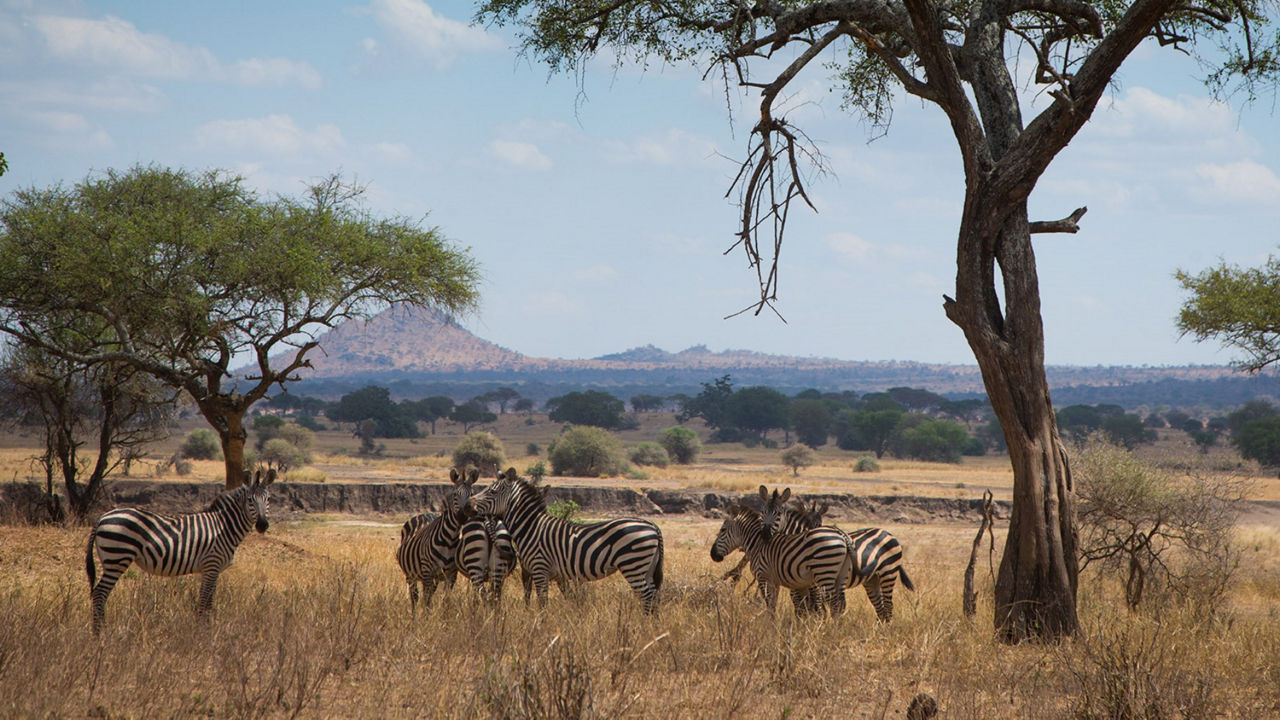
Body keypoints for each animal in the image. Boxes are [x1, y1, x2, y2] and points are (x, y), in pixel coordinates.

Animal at [85, 468, 277, 630]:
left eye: (268, 499)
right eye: (250, 500)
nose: (262, 525)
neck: (224, 526)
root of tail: (102, 517)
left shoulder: (214, 570)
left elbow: (209, 602)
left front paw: (207, 630)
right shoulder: (211, 565)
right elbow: (204, 602)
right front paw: (202, 633)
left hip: (111, 559)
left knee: (100, 594)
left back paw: (101, 631)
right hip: (117, 558)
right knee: (100, 594)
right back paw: (100, 634)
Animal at [391, 466, 478, 604]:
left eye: (472, 494)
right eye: (455, 494)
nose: (462, 516)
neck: (450, 540)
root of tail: (424, 514)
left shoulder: (451, 575)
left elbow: (445, 599)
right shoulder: (427, 572)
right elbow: (426, 601)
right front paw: (426, 610)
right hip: (410, 574)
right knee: (415, 597)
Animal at [471, 468, 670, 614]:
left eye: (492, 491)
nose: (469, 505)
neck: (531, 527)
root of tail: (652, 525)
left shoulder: (540, 568)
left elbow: (542, 602)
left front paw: (541, 626)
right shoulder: (553, 574)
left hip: (633, 564)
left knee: (647, 597)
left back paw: (645, 627)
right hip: (647, 568)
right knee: (654, 597)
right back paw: (652, 628)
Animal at [711, 486, 849, 617]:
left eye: (722, 530)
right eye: (762, 512)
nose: (712, 554)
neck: (757, 544)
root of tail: (843, 536)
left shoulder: (765, 577)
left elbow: (773, 605)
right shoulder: (782, 581)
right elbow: (782, 605)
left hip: (824, 575)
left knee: (831, 605)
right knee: (838, 605)